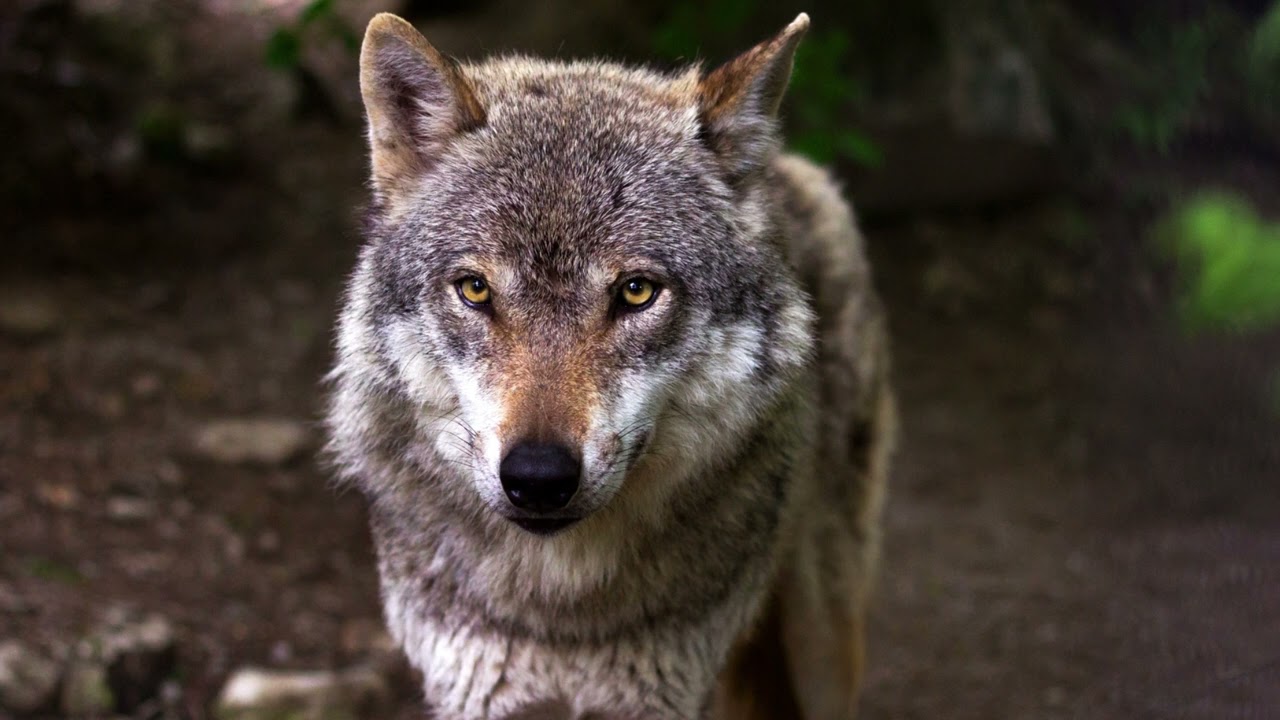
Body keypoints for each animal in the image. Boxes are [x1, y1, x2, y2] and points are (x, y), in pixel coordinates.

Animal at [325, 11, 895, 720]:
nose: (538, 477)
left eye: (636, 292)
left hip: (822, 644)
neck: (563, 613)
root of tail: (785, 168)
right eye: (476, 289)